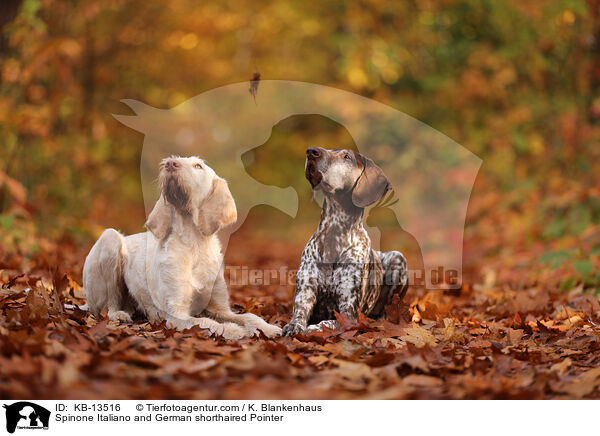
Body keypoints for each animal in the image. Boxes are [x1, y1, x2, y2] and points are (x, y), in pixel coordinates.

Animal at [81, 157, 284, 340]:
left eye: (198, 166)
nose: (170, 163)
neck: (194, 245)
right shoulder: (174, 314)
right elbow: (207, 322)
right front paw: (233, 330)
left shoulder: (219, 308)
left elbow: (250, 316)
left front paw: (269, 328)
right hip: (110, 238)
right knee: (109, 305)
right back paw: (118, 315)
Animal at [282, 148, 408, 336]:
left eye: (346, 157)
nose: (311, 151)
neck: (335, 233)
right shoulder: (306, 291)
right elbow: (298, 314)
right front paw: (294, 325)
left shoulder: (349, 312)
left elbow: (328, 323)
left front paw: (314, 328)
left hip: (398, 258)